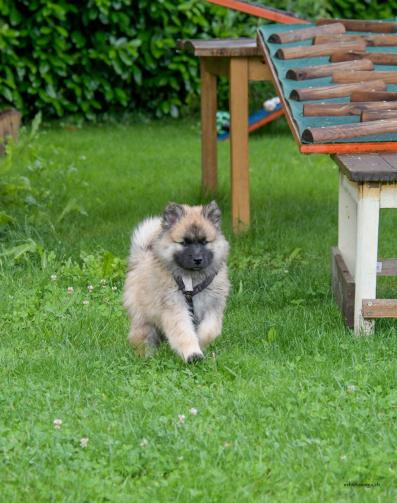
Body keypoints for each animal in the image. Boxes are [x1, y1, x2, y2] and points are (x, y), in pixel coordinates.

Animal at [123, 203, 229, 364]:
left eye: (204, 242)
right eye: (184, 242)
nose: (197, 259)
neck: (192, 280)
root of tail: (140, 258)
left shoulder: (213, 306)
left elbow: (209, 331)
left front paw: (201, 343)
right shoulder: (175, 307)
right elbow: (184, 333)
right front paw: (192, 354)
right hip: (144, 319)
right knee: (141, 337)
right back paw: (146, 356)